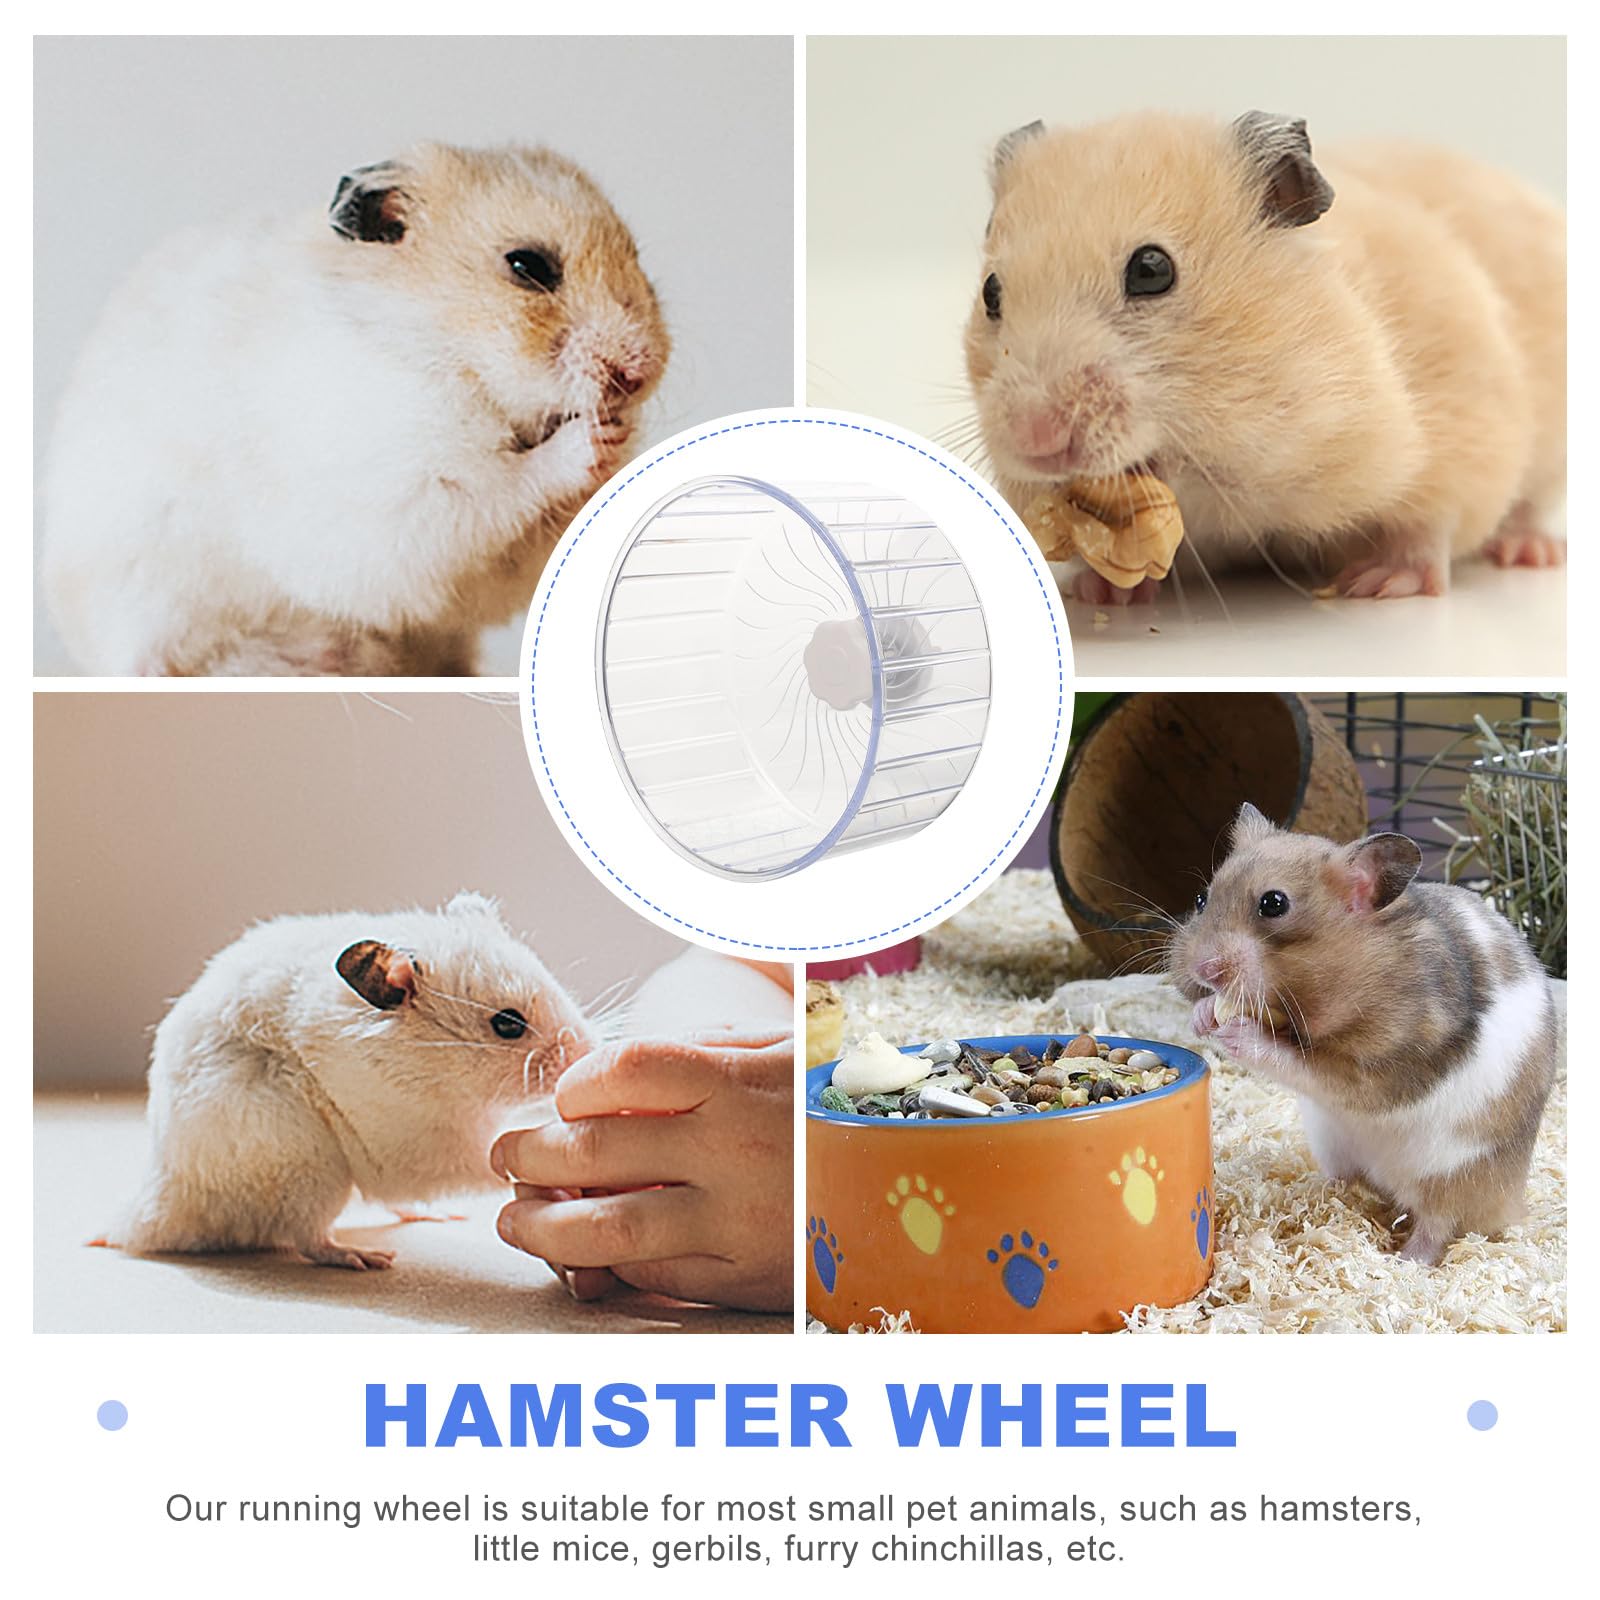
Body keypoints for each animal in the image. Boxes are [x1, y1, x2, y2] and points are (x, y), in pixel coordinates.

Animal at [43, 142, 669, 675]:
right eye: (527, 266)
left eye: (638, 258)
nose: (638, 373)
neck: (450, 354)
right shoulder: (401, 499)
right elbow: (502, 488)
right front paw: (593, 440)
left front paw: (621, 437)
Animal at [106, 892, 593, 1269]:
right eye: (508, 1023)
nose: (583, 1054)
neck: (438, 1073)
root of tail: (151, 1214)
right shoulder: (418, 1144)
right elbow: (488, 1158)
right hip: (308, 1165)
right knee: (307, 1239)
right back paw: (363, 1258)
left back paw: (434, 1221)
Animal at [966, 112, 1566, 604]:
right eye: (991, 292)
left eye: (1152, 270)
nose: (1035, 441)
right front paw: (1102, 591)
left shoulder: (1464, 422)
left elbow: (1427, 525)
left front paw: (1378, 583)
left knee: (1527, 508)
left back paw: (1526, 551)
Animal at [1169, 803, 1558, 1265]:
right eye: (1201, 898)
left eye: (1274, 903)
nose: (1203, 969)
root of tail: (1514, 1204)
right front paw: (1203, 1016)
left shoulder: (1380, 1066)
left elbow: (1300, 1062)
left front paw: (1236, 1031)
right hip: (1334, 1145)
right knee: (1348, 1182)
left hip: (1453, 1173)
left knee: (1438, 1224)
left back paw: (1405, 1262)